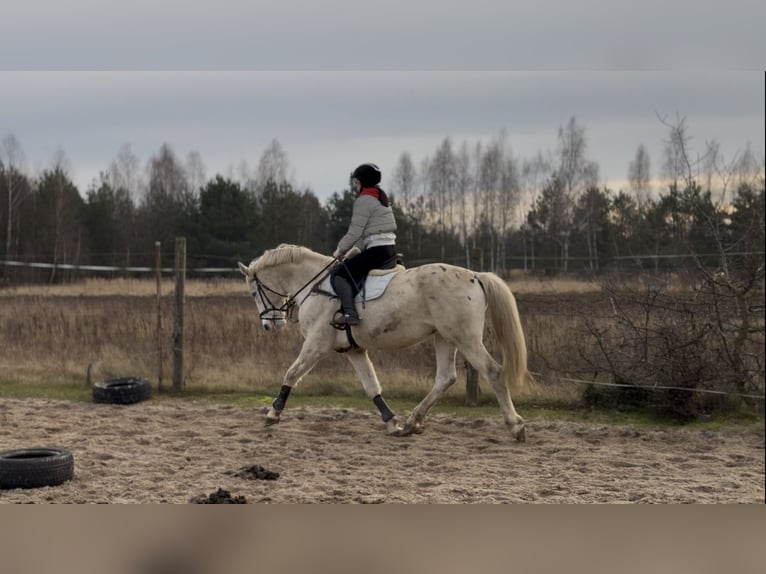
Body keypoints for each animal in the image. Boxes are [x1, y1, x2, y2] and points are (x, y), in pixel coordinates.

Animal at [238, 244, 531, 442]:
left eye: (253, 292)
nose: (269, 325)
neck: (315, 286)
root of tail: (476, 276)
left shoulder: (316, 345)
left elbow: (291, 373)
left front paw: (273, 413)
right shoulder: (353, 351)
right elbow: (371, 386)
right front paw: (391, 422)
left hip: (464, 337)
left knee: (492, 371)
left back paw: (515, 426)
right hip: (445, 337)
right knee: (445, 378)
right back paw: (412, 422)